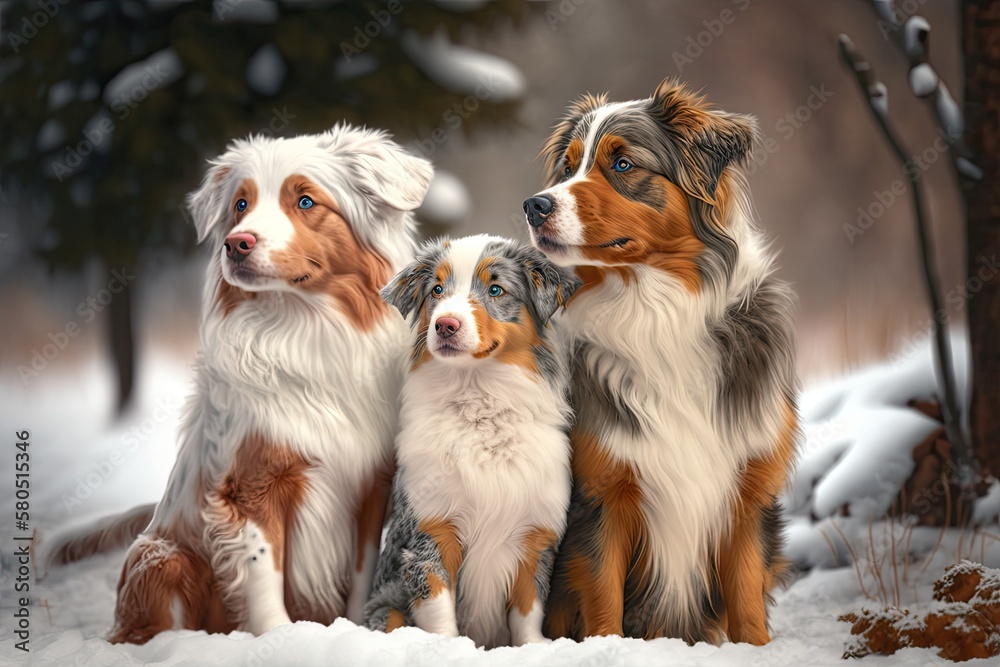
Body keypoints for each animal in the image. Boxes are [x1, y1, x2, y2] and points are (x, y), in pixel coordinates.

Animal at [42, 124, 430, 640]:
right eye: (240, 204)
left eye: (305, 201)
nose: (236, 243)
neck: (306, 329)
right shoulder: (249, 485)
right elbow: (263, 573)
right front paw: (278, 638)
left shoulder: (370, 482)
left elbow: (362, 572)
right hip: (162, 558)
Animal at [524, 79, 796, 648]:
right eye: (567, 167)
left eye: (623, 163)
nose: (534, 206)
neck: (653, 312)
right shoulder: (602, 496)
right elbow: (603, 600)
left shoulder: (749, 492)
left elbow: (748, 606)